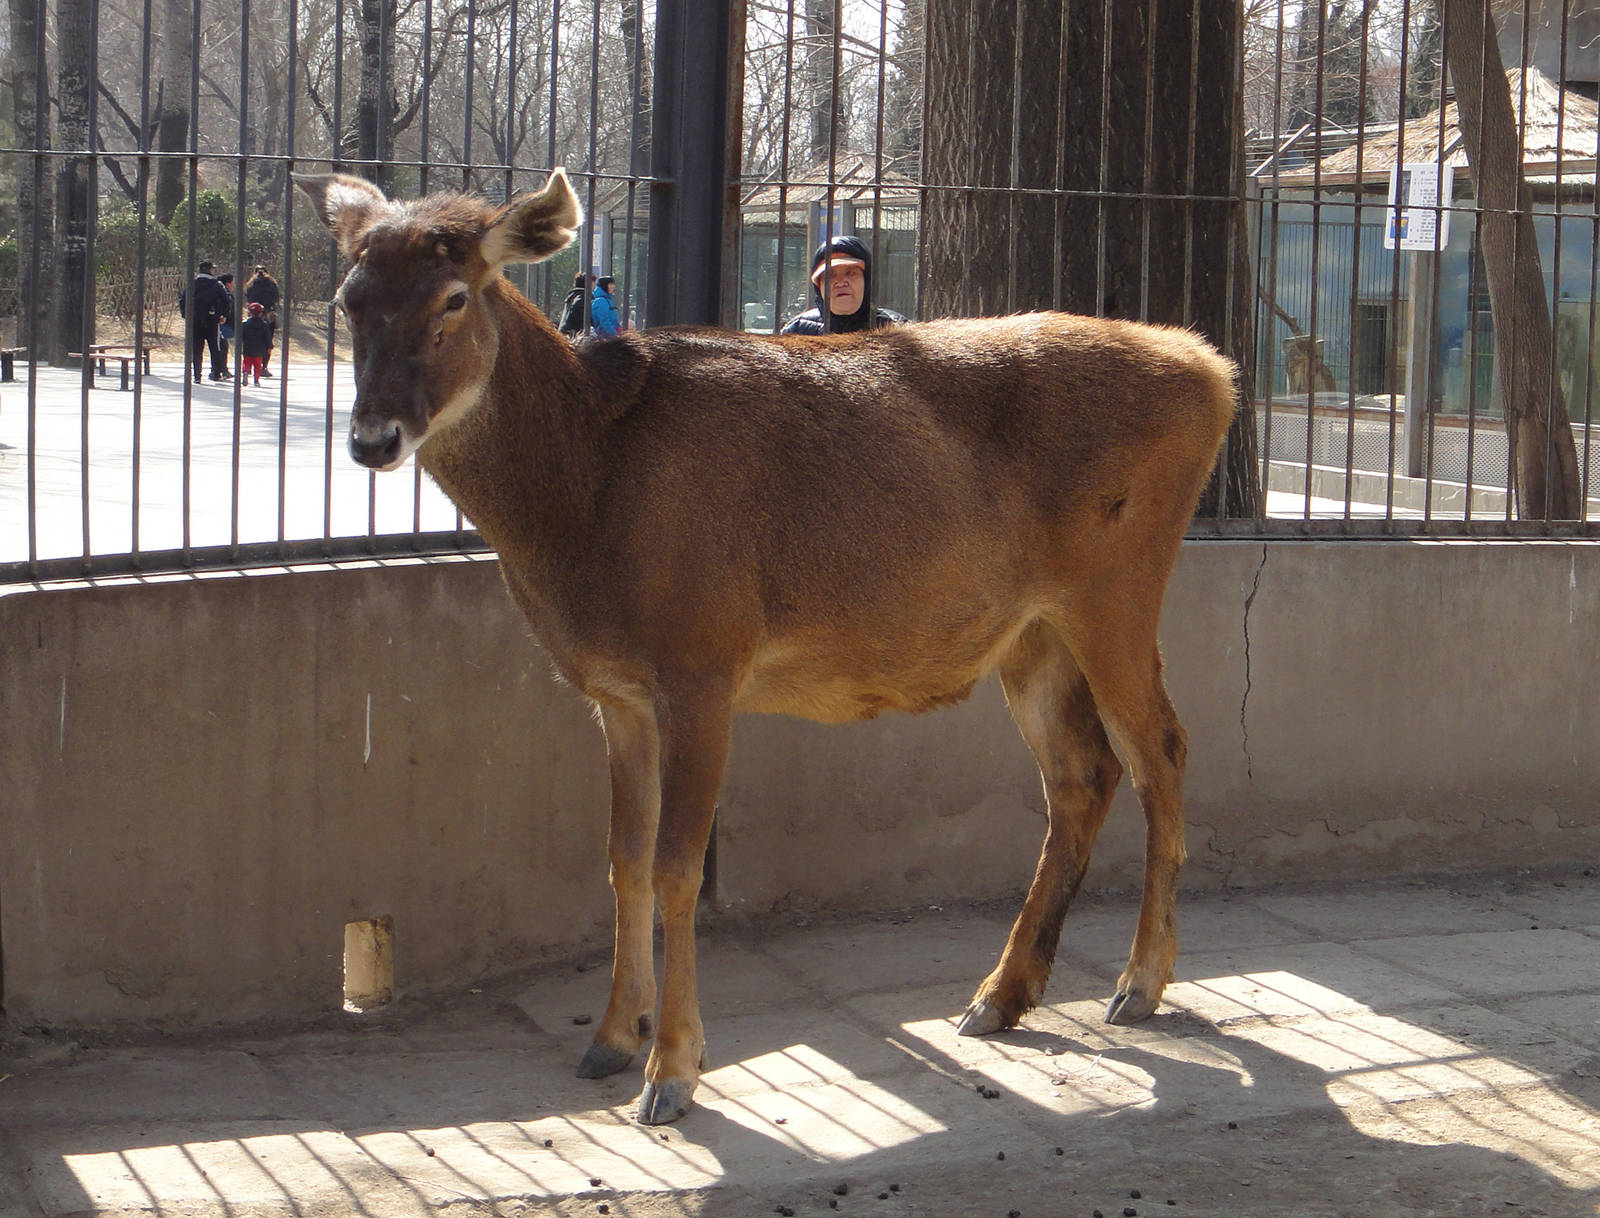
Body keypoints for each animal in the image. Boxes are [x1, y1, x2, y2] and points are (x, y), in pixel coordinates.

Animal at [295, 168, 1237, 1126]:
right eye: (348, 299)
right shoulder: (615, 693)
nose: (371, 437)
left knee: (1162, 749)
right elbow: (622, 862)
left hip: (1118, 585)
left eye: (454, 296)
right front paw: (611, 1037)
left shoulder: (703, 663)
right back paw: (1000, 996)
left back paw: (1138, 984)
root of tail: (1215, 373)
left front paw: (672, 1071)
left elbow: (677, 868)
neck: (585, 501)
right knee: (1083, 771)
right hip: (1030, 630)